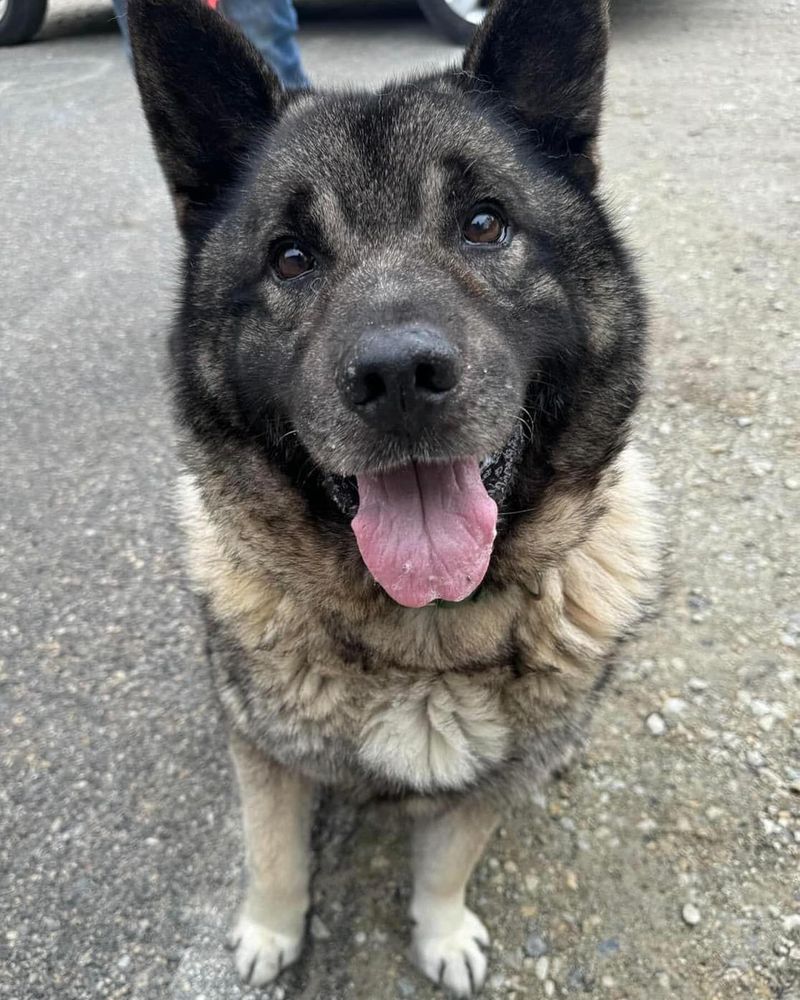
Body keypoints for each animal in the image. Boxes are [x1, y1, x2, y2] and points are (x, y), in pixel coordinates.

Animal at [128, 0, 660, 988]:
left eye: (484, 224)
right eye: (290, 258)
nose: (400, 376)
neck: (424, 641)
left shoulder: (483, 789)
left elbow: (448, 861)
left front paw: (441, 932)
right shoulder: (267, 759)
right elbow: (274, 852)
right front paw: (271, 930)